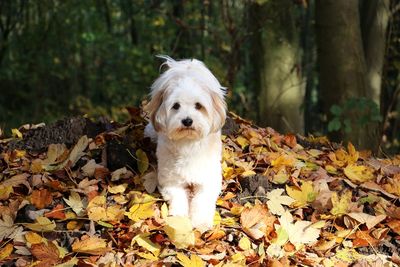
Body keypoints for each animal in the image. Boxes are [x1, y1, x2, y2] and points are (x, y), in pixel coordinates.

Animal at [145, 56, 227, 230]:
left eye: (198, 106)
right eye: (176, 106)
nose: (187, 120)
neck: (188, 143)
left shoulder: (209, 178)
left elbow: (203, 200)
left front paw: (201, 221)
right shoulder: (170, 179)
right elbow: (177, 196)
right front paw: (179, 220)